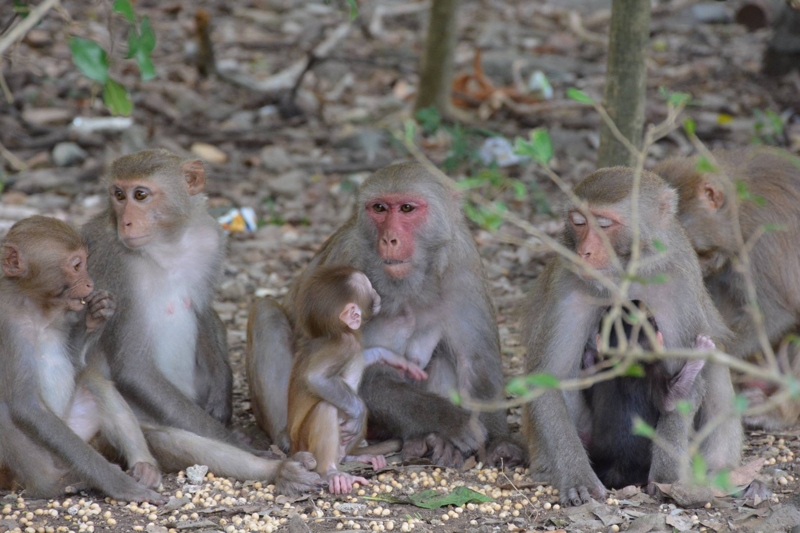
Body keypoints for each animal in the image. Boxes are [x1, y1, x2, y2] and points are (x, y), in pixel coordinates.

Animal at [0, 215, 164, 503]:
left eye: (86, 263)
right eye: (77, 265)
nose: (89, 283)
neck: (36, 309)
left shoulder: (66, 315)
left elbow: (77, 366)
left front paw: (96, 316)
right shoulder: (8, 327)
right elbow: (26, 405)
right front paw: (121, 486)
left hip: (73, 430)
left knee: (93, 382)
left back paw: (144, 465)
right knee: (6, 410)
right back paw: (51, 484)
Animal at [82, 149, 322, 494]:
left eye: (140, 195)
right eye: (118, 194)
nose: (126, 221)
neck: (165, 245)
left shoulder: (209, 240)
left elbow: (203, 311)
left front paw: (223, 397)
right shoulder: (112, 267)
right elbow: (133, 367)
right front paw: (237, 440)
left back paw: (281, 469)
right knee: (169, 438)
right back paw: (276, 468)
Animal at [247, 162, 526, 469]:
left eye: (406, 208)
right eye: (379, 208)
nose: (389, 239)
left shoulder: (463, 267)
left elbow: (476, 364)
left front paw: (500, 443)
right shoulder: (349, 261)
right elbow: (359, 367)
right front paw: (452, 421)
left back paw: (431, 443)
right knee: (267, 314)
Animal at [288, 265, 427, 494]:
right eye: (370, 289)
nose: (378, 294)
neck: (338, 332)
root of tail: (291, 448)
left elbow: (364, 358)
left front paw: (394, 359)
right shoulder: (345, 345)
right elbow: (316, 377)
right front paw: (359, 411)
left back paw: (354, 457)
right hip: (303, 444)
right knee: (327, 407)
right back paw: (331, 472)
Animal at [581, 301, 708, 489]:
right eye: (652, 320)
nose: (636, 300)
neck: (625, 359)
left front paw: (589, 354)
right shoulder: (653, 371)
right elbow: (669, 402)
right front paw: (701, 351)